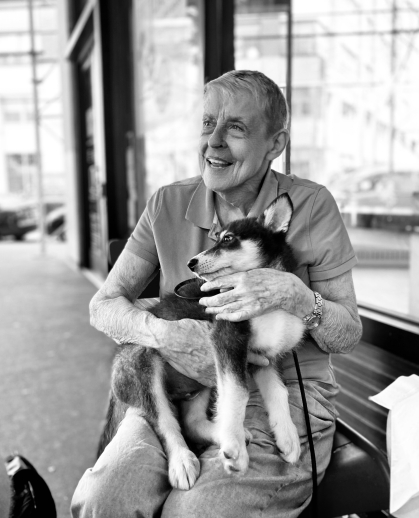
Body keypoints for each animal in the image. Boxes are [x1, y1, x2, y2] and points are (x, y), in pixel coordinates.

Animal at [108, 194, 306, 492]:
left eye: (228, 239)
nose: (191, 263)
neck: (269, 304)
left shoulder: (266, 358)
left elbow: (279, 392)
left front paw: (288, 437)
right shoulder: (228, 339)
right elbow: (238, 392)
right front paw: (235, 449)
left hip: (200, 386)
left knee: (190, 421)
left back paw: (222, 433)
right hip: (143, 362)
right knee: (165, 421)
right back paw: (183, 460)